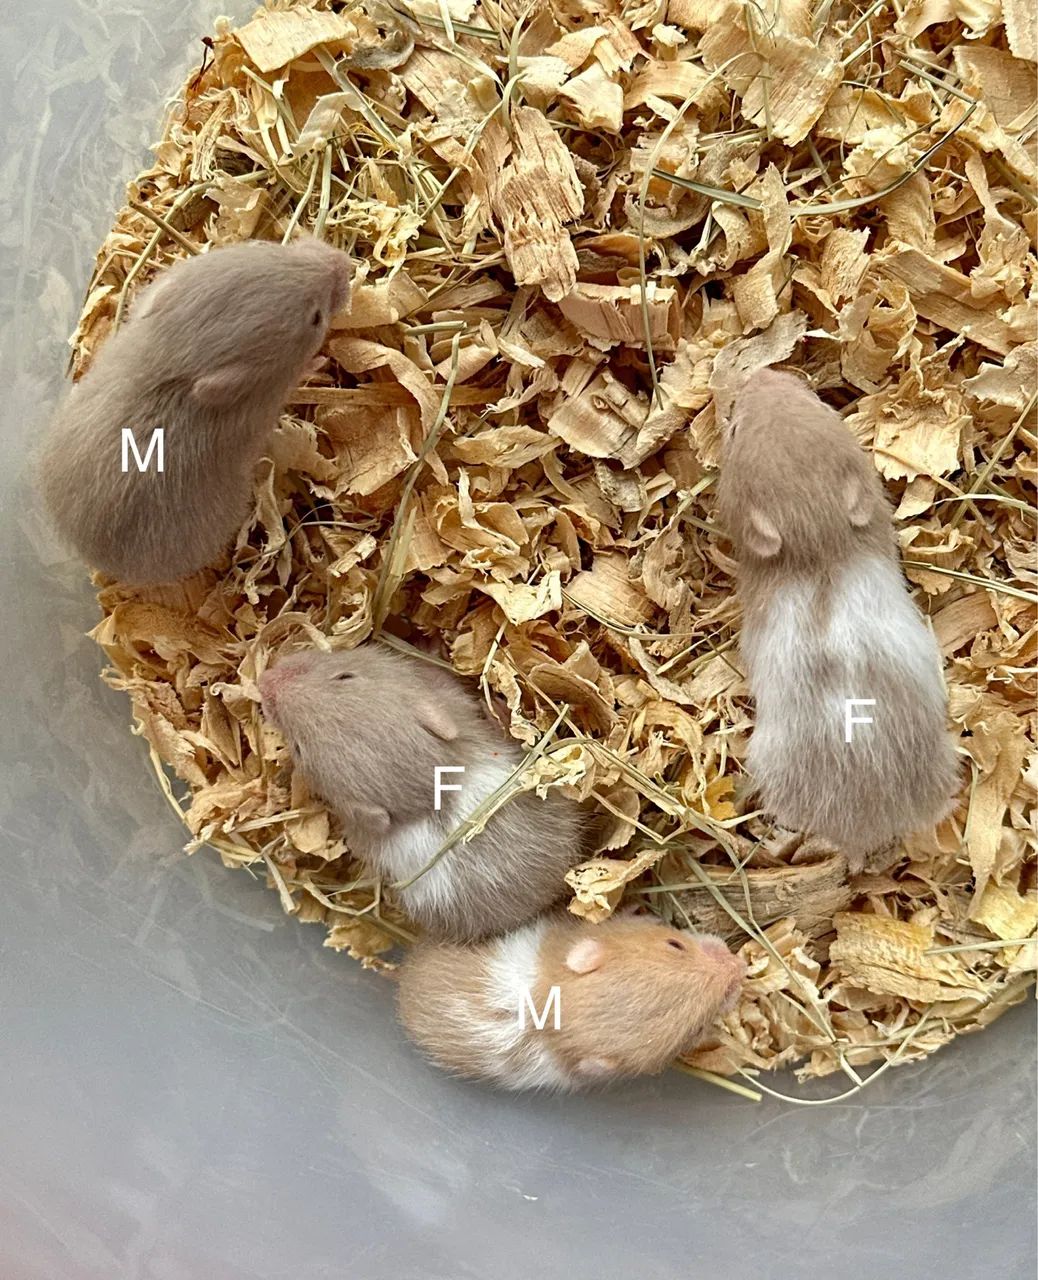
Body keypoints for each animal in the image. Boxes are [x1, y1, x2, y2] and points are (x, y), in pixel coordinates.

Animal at [39, 238, 352, 585]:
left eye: (267, 246)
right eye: (316, 318)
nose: (346, 261)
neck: (176, 357)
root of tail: (92, 556)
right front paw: (319, 363)